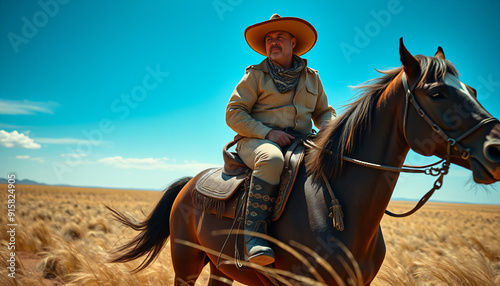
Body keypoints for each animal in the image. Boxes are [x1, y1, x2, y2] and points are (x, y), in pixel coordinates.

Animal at [107, 38, 498, 286]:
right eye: (437, 92)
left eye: (473, 91)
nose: (496, 148)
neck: (338, 204)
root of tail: (189, 184)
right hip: (185, 263)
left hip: (221, 268)